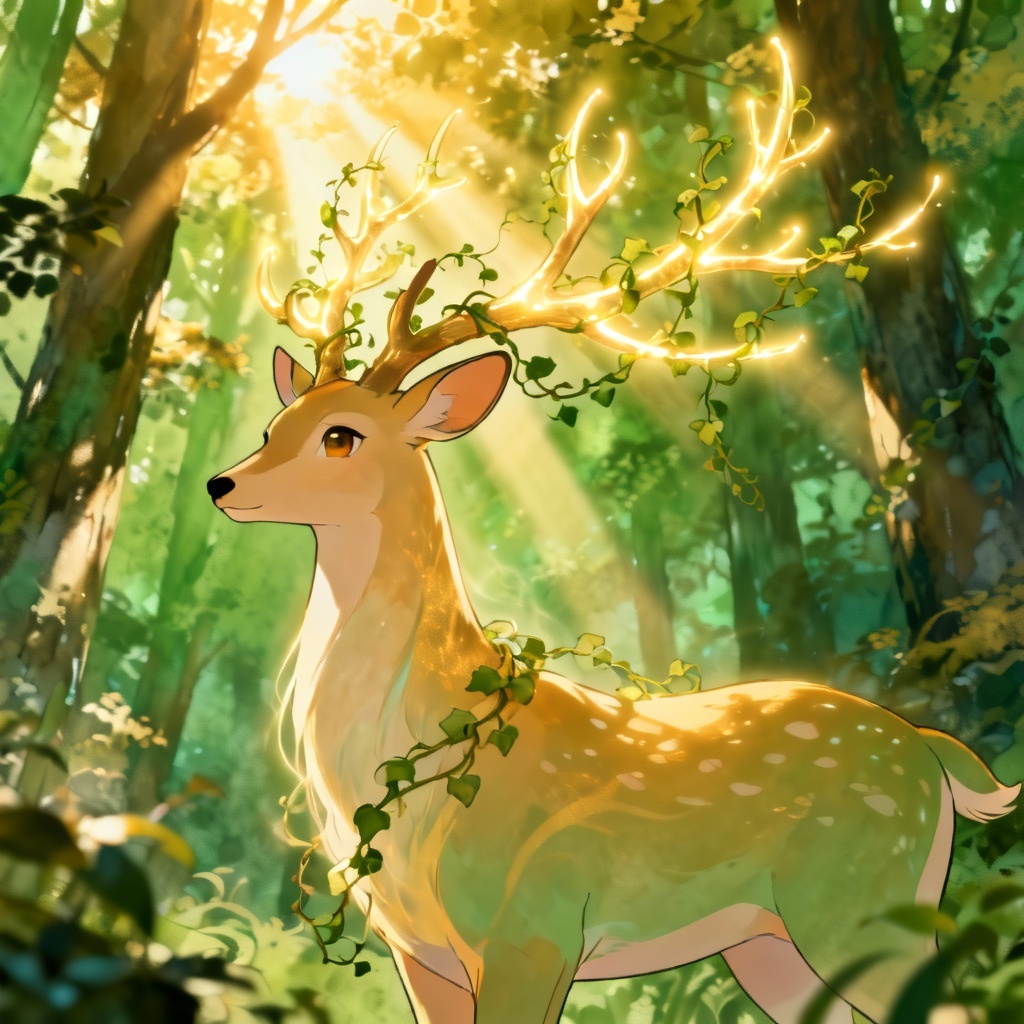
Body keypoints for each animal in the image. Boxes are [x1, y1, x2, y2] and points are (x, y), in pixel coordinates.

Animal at [208, 41, 1018, 1024]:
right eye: (274, 424)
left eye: (340, 435)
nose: (220, 483)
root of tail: (934, 758)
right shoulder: (417, 953)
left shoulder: (532, 925)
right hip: (773, 942)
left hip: (863, 891)